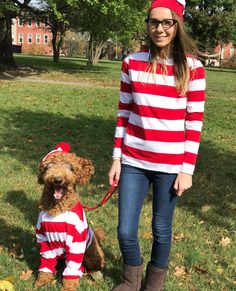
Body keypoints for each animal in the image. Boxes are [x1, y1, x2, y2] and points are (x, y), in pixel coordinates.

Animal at [34, 144, 104, 291]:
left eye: (69, 167)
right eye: (49, 166)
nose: (58, 179)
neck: (57, 210)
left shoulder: (76, 243)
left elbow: (72, 268)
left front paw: (68, 287)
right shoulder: (43, 239)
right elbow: (46, 262)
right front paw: (42, 281)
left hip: (93, 254)